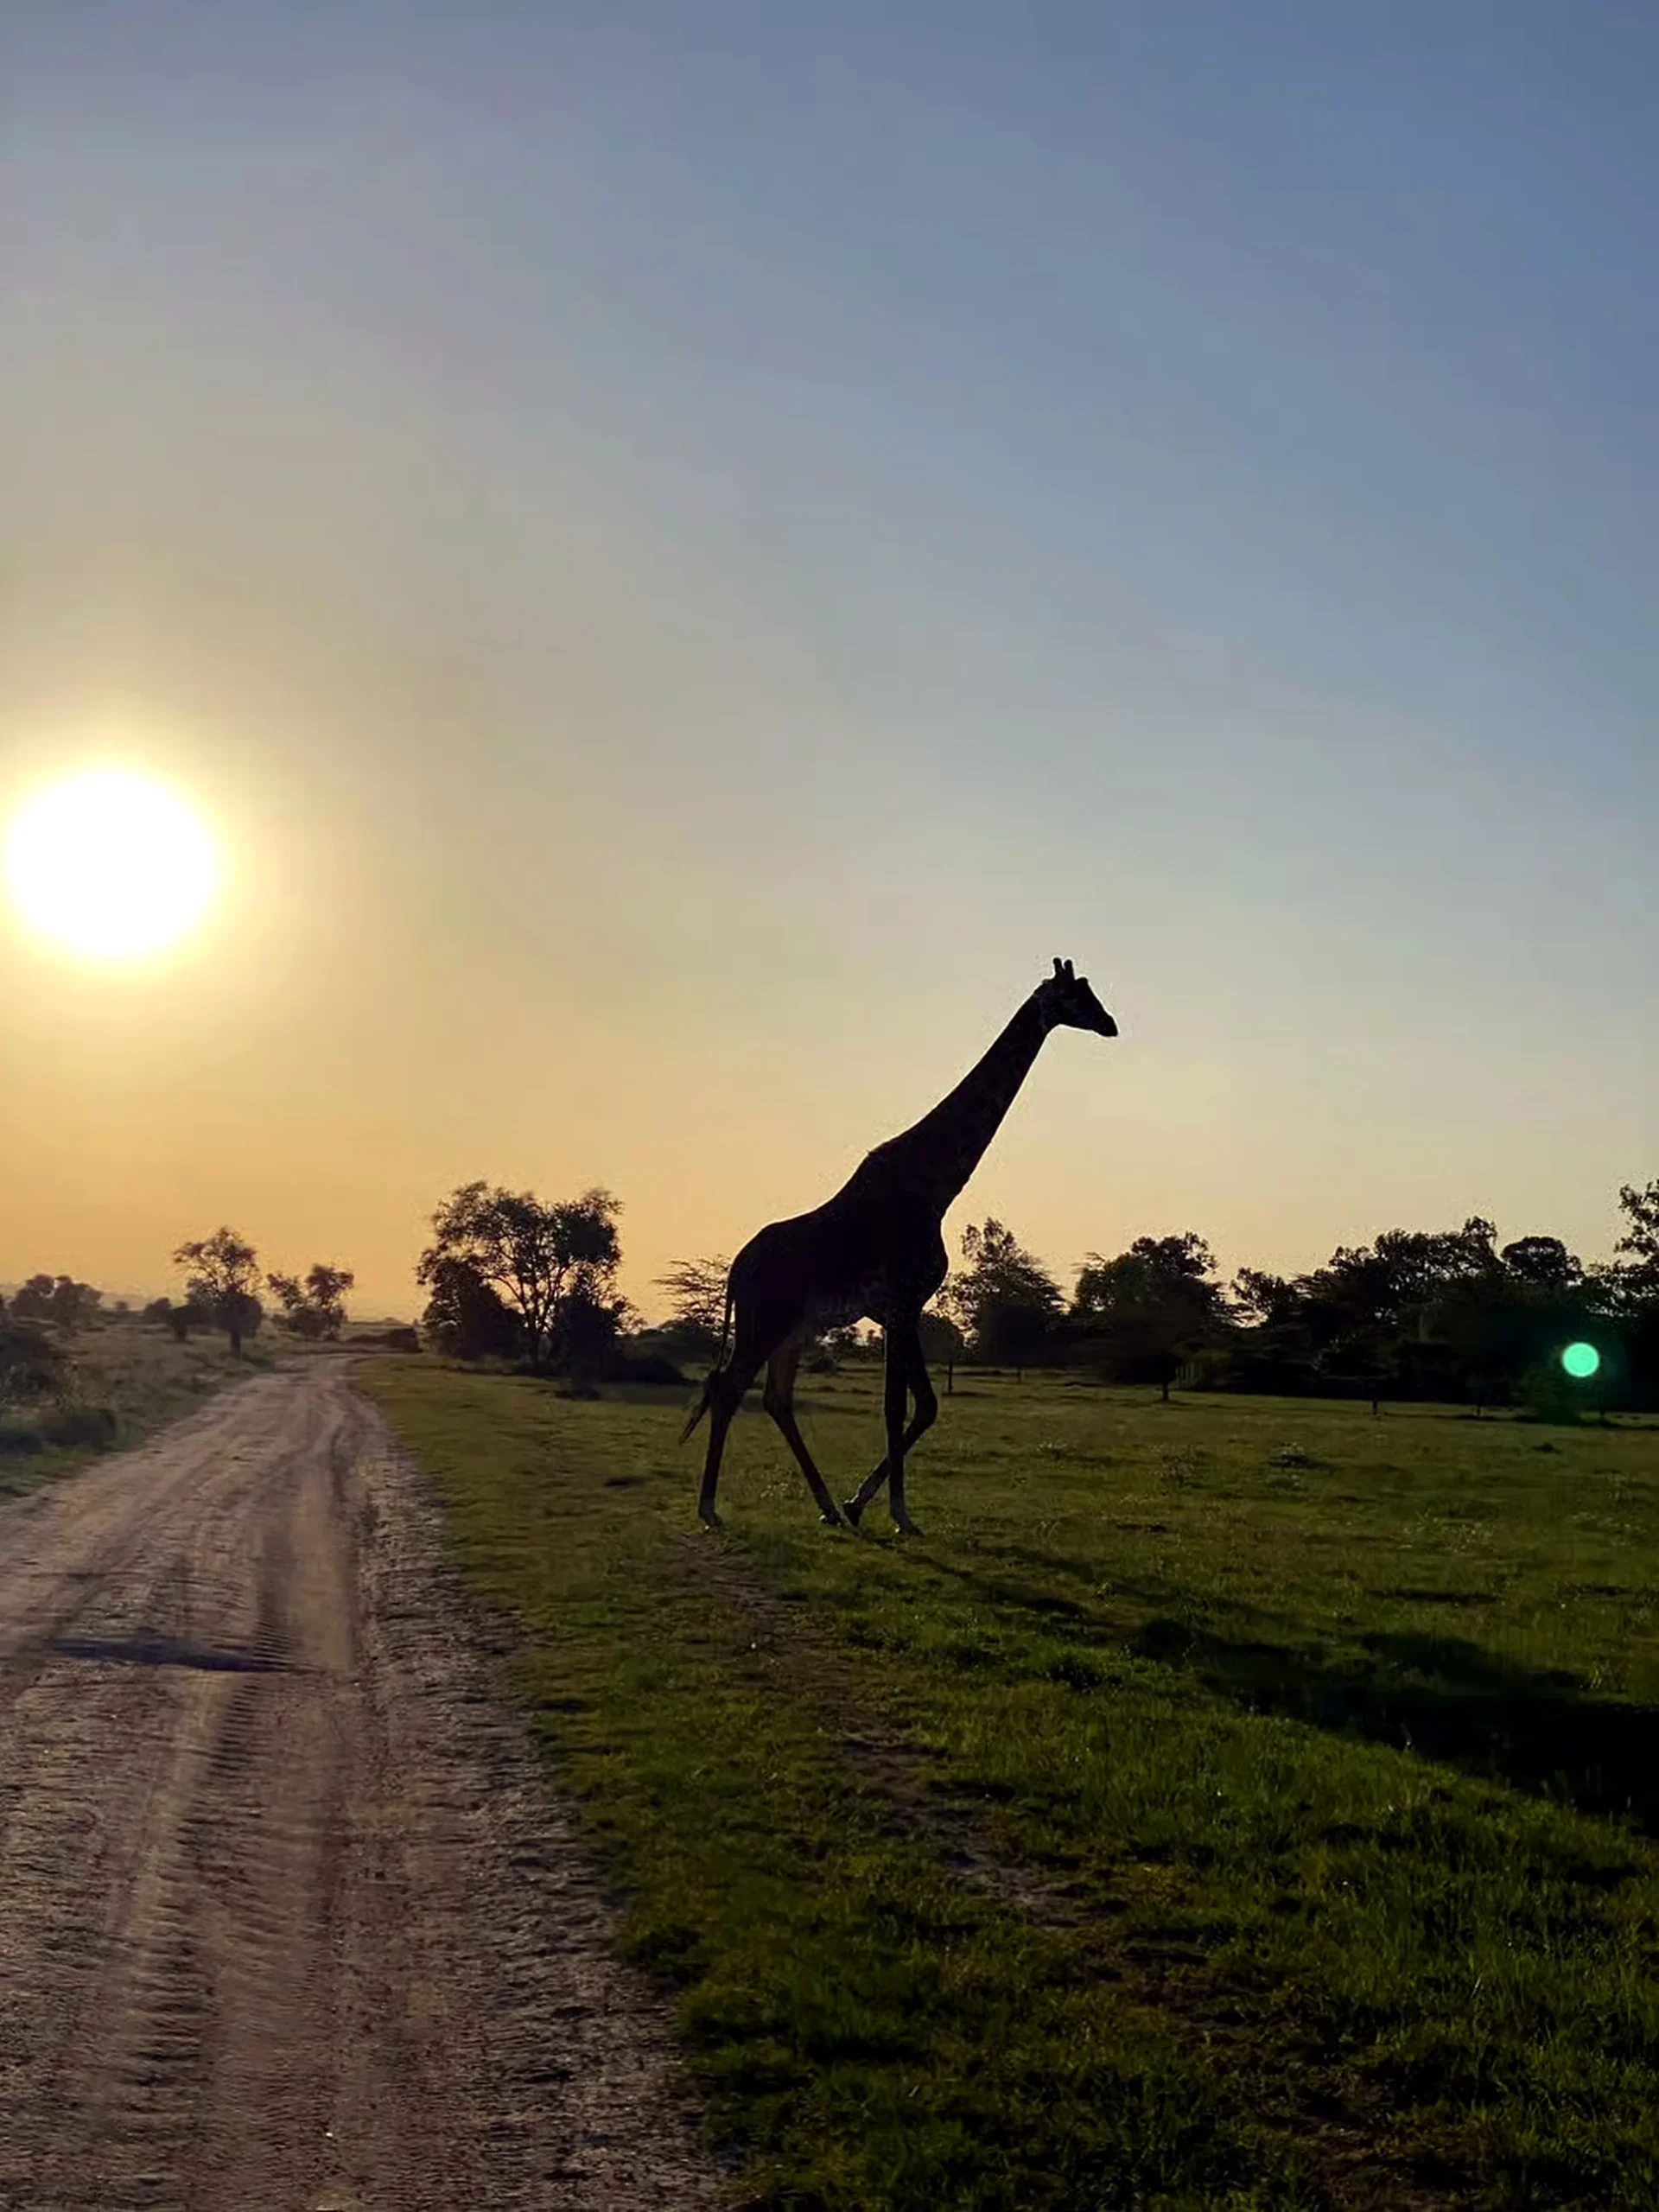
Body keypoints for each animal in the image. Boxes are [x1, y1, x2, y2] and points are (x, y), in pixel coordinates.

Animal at [681, 959, 1118, 1534]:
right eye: (1073, 995)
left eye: (1091, 991)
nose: (1110, 1024)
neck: (935, 1186)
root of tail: (735, 1269)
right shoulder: (902, 1300)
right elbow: (899, 1406)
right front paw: (897, 1513)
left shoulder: (900, 1308)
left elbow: (923, 1405)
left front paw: (858, 1505)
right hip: (765, 1321)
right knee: (729, 1387)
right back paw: (710, 1508)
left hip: (795, 1327)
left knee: (775, 1397)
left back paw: (825, 1506)